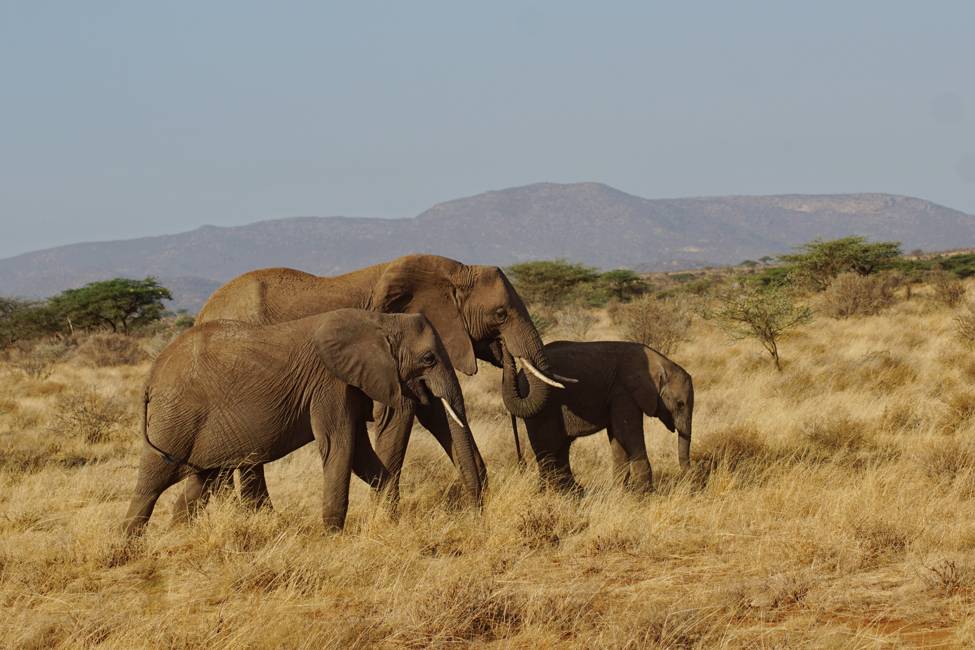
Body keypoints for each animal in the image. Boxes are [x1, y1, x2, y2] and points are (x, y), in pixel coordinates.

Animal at [122, 309, 481, 538]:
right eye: (429, 359)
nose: (477, 510)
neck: (380, 321)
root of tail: (151, 377)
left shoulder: (349, 384)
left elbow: (361, 455)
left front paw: (389, 515)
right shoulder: (330, 383)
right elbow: (340, 446)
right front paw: (333, 536)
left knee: (201, 482)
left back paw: (176, 537)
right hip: (175, 419)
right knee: (152, 482)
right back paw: (130, 547)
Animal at [182, 254, 563, 512]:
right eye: (500, 314)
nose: (506, 354)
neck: (453, 271)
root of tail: (201, 313)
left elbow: (437, 413)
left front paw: (479, 500)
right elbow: (400, 416)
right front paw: (385, 515)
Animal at [502, 340, 693, 493]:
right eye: (680, 404)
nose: (690, 483)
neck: (659, 362)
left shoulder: (617, 395)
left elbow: (618, 437)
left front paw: (620, 493)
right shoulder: (623, 393)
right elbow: (629, 434)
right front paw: (645, 494)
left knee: (560, 447)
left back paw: (573, 492)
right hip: (541, 409)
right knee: (548, 447)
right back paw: (553, 494)